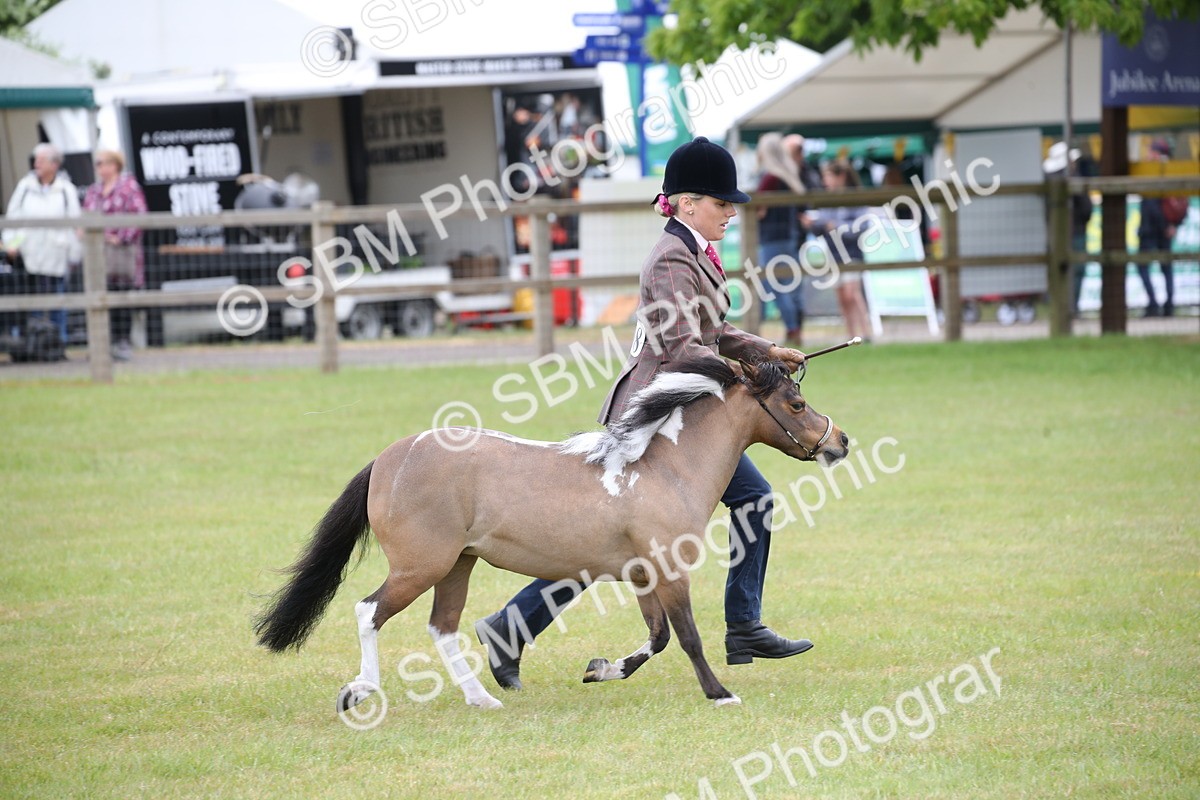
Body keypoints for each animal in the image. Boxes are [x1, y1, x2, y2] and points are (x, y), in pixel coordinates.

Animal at [254, 356, 849, 710]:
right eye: (796, 402)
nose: (840, 441)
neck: (662, 469)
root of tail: (388, 458)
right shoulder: (669, 570)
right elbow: (687, 636)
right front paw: (720, 693)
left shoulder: (643, 576)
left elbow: (656, 638)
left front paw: (601, 669)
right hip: (420, 566)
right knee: (368, 612)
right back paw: (360, 692)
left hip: (457, 565)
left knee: (442, 627)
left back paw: (484, 698)